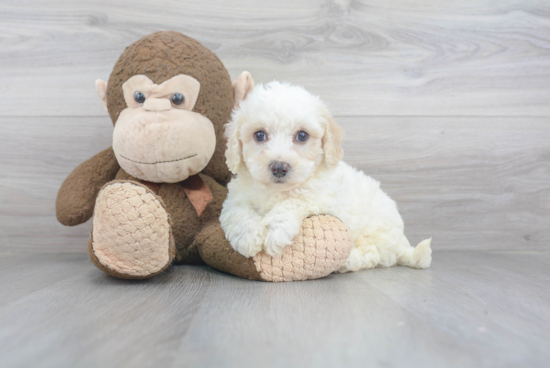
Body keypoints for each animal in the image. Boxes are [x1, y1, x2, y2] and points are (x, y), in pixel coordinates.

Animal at [222, 77, 434, 272]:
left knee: (372, 255)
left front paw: (276, 231)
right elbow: (238, 210)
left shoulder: (322, 197)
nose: (279, 167)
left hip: (375, 233)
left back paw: (346, 261)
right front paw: (248, 237)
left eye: (302, 135)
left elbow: (294, 201)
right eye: (259, 135)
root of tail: (403, 244)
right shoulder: (235, 197)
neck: (277, 190)